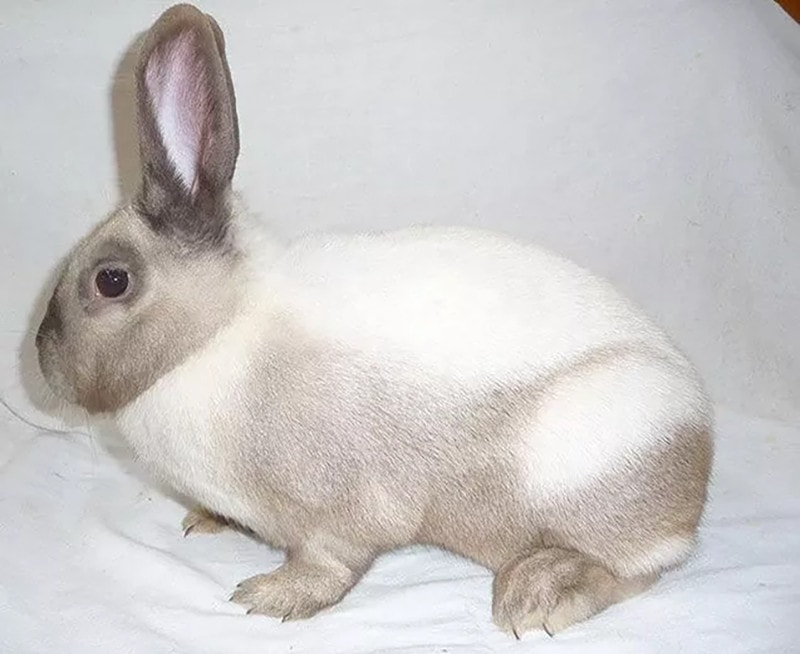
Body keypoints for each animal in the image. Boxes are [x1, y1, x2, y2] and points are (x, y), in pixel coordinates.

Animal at [35, 3, 713, 638]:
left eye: (111, 280)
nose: (41, 359)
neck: (218, 332)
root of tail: (697, 451)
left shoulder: (340, 508)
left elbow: (330, 562)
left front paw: (273, 596)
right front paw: (205, 520)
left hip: (586, 459)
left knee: (638, 569)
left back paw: (538, 594)